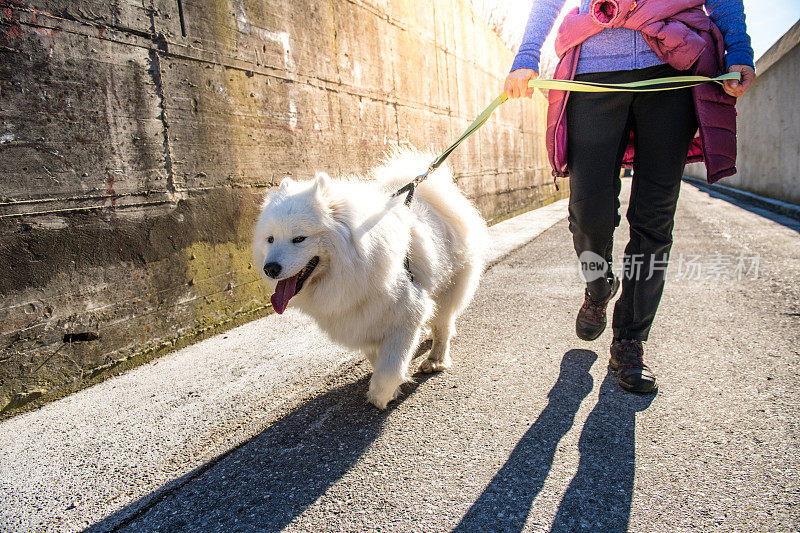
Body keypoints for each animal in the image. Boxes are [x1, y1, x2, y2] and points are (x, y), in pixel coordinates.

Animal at [253, 150, 488, 408]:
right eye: (270, 239)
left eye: (299, 239)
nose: (270, 268)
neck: (353, 268)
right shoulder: (362, 321)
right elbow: (378, 359)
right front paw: (388, 389)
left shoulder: (407, 312)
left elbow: (390, 367)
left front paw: (381, 396)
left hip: (449, 286)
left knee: (443, 326)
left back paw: (435, 360)